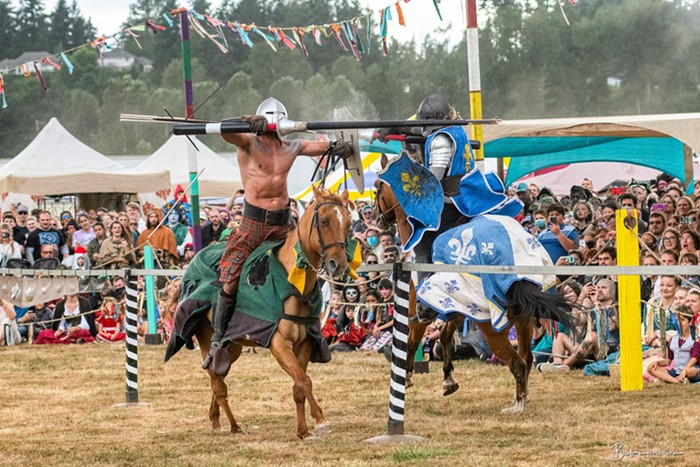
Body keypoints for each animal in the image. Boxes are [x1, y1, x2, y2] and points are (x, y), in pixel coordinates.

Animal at [374, 156, 576, 414]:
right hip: (523, 319)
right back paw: (522, 397)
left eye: (377, 188)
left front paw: (407, 377)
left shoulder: (420, 306)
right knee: (527, 358)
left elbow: (412, 339)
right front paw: (448, 380)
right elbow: (446, 336)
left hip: (491, 325)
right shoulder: (457, 306)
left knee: (518, 363)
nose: (379, 219)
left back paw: (517, 405)